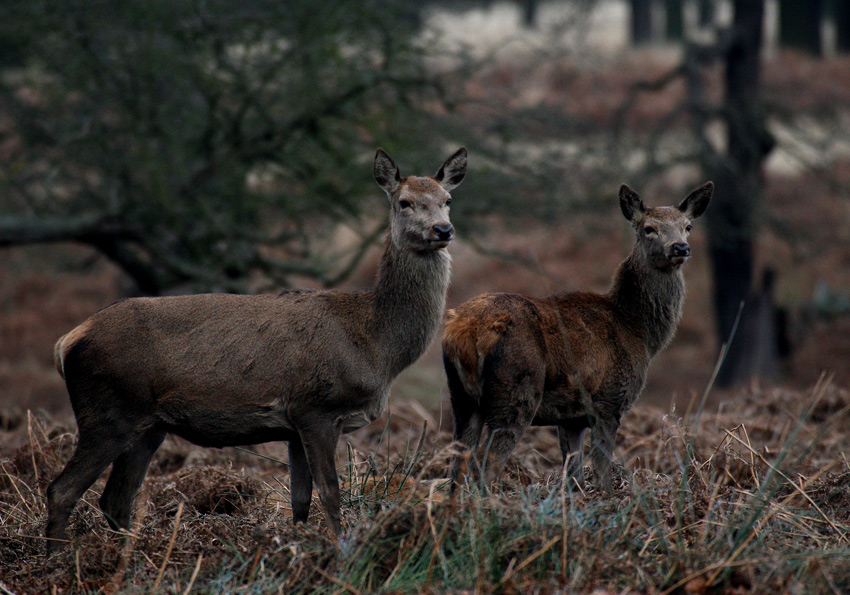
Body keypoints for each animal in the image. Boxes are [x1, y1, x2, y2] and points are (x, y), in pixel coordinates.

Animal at [45, 146, 468, 556]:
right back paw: (57, 561)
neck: (375, 345)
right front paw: (342, 554)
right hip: (109, 412)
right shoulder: (316, 408)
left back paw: (127, 557)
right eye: (405, 202)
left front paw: (295, 547)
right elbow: (331, 494)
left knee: (115, 499)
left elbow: (301, 501)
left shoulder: (294, 425)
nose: (443, 229)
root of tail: (67, 341)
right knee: (61, 489)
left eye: (447, 200)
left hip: (148, 425)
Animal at [440, 182, 712, 494]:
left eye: (687, 226)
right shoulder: (609, 401)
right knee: (485, 463)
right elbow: (602, 471)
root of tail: (465, 331)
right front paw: (608, 498)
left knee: (457, 462)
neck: (639, 330)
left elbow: (573, 475)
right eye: (649, 228)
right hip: (516, 391)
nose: (680, 247)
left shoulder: (571, 418)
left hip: (460, 398)